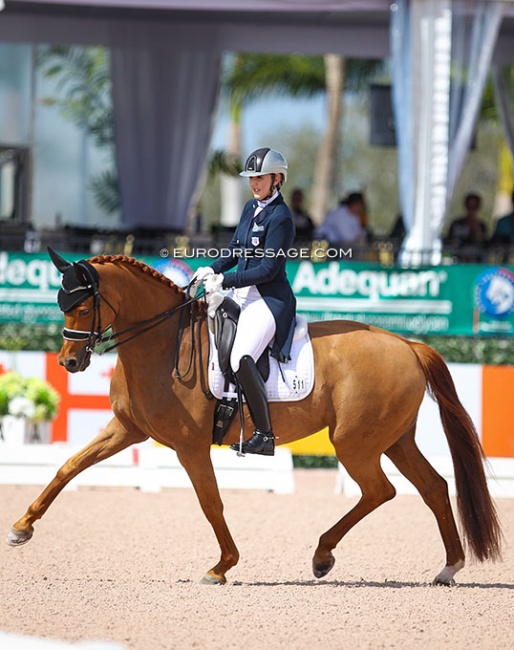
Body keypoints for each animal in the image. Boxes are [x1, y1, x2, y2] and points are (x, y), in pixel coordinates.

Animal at [6, 252, 498, 584]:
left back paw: (323, 556)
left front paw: (221, 567)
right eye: (59, 303)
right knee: (433, 487)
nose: (69, 363)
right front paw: (21, 528)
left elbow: (211, 503)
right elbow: (68, 466)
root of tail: (406, 344)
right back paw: (448, 567)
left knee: (381, 490)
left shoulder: (188, 446)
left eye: (82, 306)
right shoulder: (126, 429)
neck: (163, 344)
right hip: (394, 439)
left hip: (355, 442)